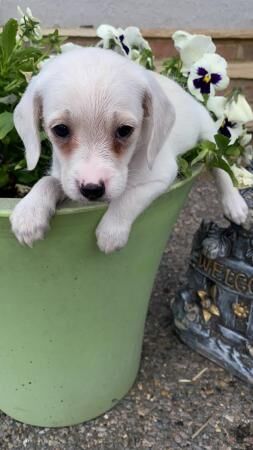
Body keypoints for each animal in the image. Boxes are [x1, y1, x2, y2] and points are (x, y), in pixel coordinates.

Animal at [10, 50, 247, 253]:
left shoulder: (160, 176)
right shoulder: (65, 178)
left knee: (222, 166)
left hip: (209, 137)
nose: (92, 190)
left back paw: (233, 203)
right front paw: (29, 212)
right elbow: (48, 181)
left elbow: (128, 197)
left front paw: (111, 230)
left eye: (125, 130)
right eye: (60, 130)